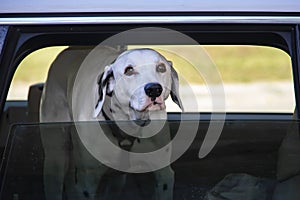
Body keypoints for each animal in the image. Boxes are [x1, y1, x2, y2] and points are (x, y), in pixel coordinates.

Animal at [39, 46, 183, 199]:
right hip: (56, 160)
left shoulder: (164, 176)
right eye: (129, 70)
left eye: (161, 68)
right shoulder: (86, 183)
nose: (154, 89)